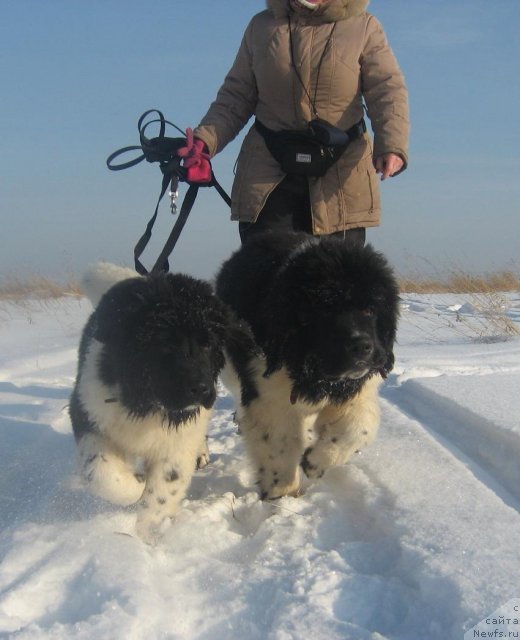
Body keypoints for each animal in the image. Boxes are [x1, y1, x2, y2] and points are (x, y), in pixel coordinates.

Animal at [69, 262, 254, 544]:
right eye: (164, 344)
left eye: (209, 344)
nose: (202, 389)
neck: (148, 405)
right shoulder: (89, 412)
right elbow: (103, 473)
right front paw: (134, 485)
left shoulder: (178, 443)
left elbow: (162, 491)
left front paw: (147, 535)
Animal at [214, 232, 398, 502]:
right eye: (325, 309)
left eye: (370, 309)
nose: (362, 347)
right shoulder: (268, 395)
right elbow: (279, 445)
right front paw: (282, 494)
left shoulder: (355, 388)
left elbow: (362, 424)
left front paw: (317, 461)